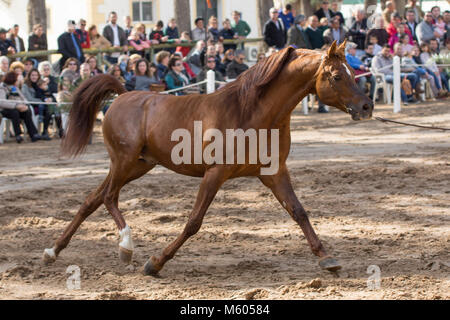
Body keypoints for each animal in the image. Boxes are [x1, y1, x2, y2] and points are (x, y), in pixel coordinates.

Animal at [43, 40, 372, 276]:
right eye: (336, 76)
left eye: (353, 72)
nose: (366, 106)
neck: (251, 112)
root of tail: (122, 96)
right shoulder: (215, 173)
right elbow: (193, 222)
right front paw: (155, 263)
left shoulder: (274, 172)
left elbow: (299, 212)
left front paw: (327, 259)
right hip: (124, 162)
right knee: (109, 197)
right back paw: (126, 245)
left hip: (137, 165)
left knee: (92, 200)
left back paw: (53, 252)